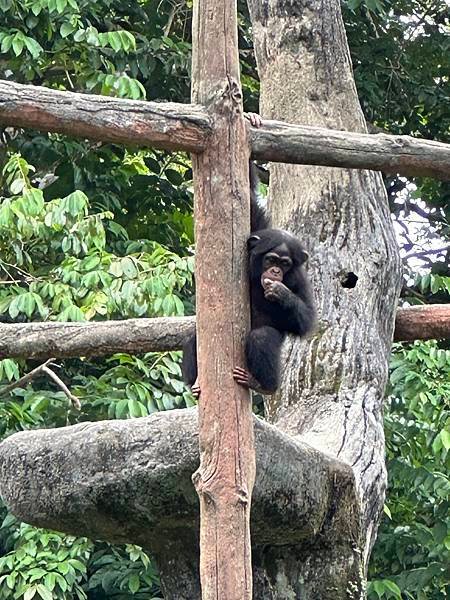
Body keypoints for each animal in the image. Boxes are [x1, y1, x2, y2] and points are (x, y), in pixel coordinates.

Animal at [180, 161, 316, 394]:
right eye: (271, 260)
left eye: (285, 264)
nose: (275, 272)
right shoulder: (255, 230)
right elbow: (249, 197)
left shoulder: (299, 279)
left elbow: (306, 319)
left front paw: (280, 292)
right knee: (193, 338)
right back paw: (196, 383)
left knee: (262, 338)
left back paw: (263, 385)